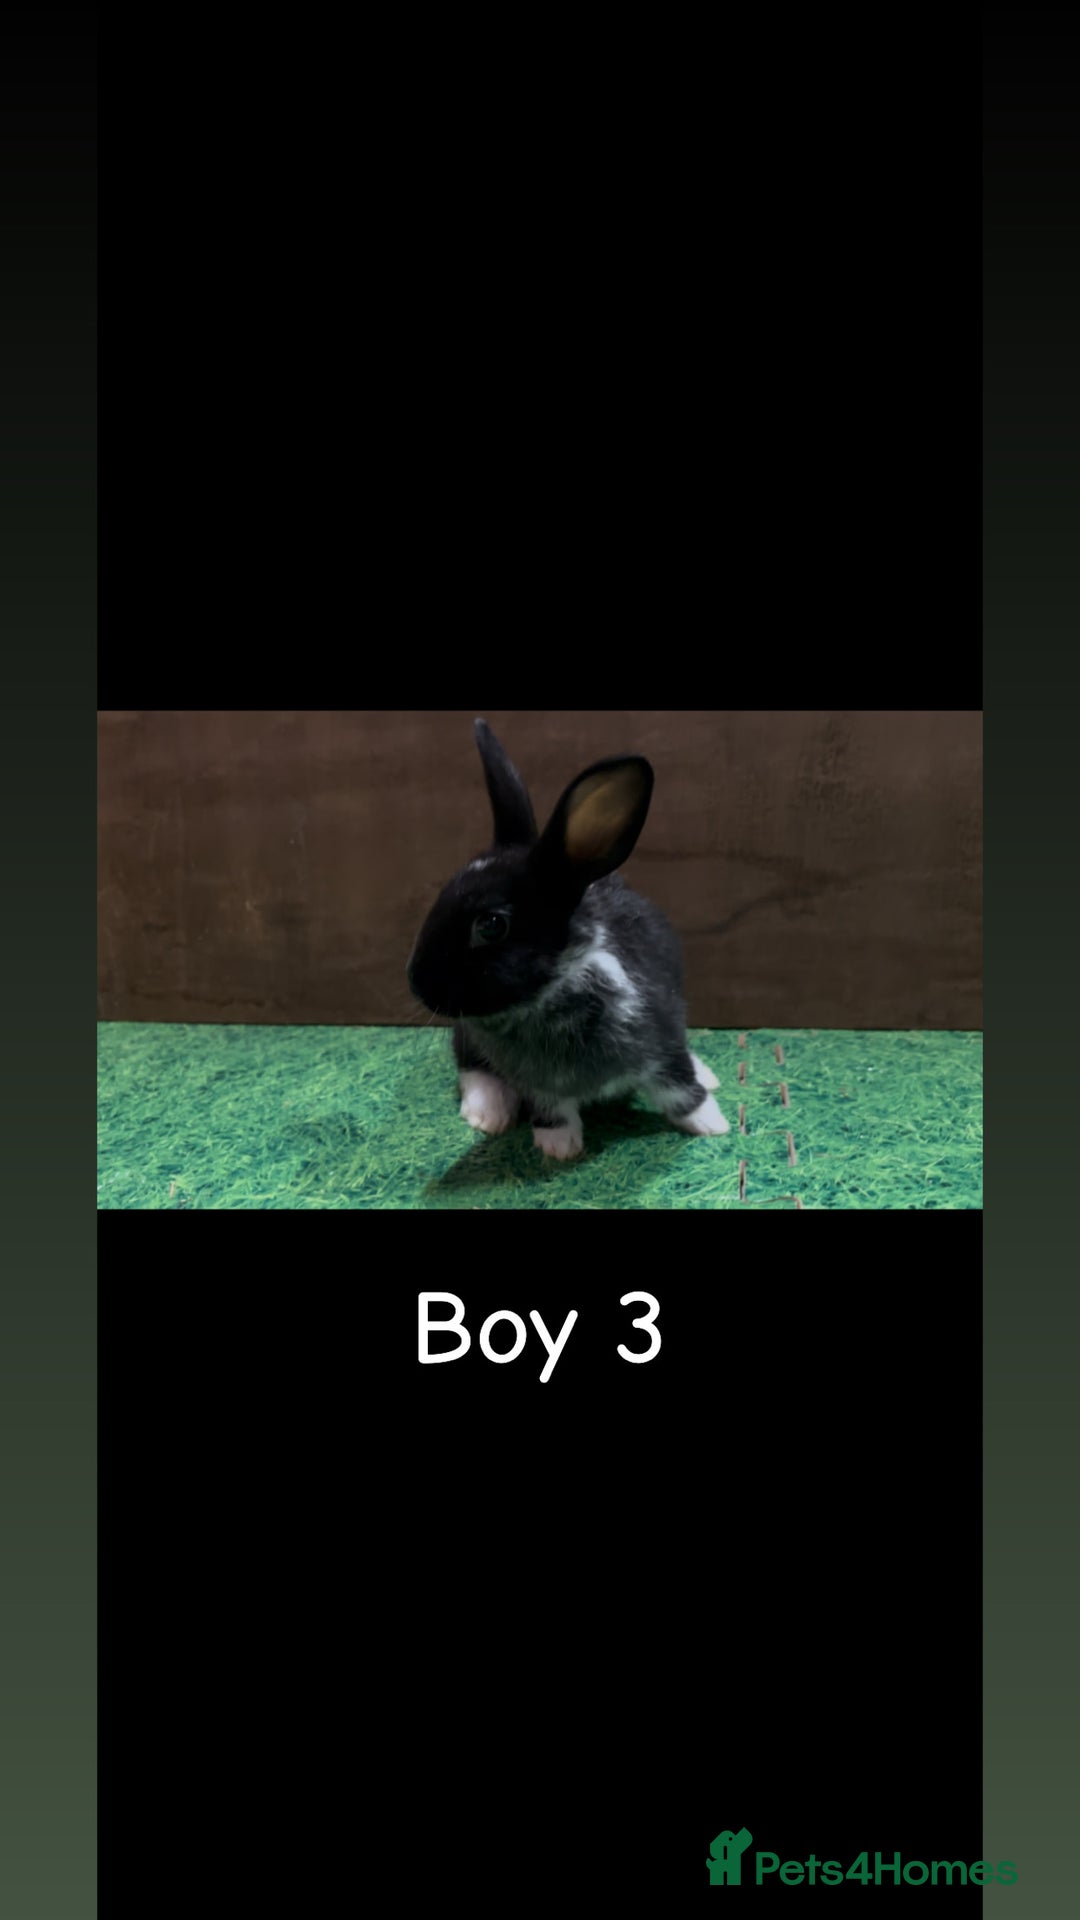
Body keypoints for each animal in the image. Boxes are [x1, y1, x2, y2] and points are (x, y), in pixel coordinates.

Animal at [405, 719, 730, 1160]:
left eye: (491, 925)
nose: (417, 984)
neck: (552, 997)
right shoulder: (538, 1084)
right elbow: (551, 1109)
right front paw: (559, 1147)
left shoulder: (661, 1042)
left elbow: (681, 1089)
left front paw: (712, 1124)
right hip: (466, 1037)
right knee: (470, 1064)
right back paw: (488, 1113)